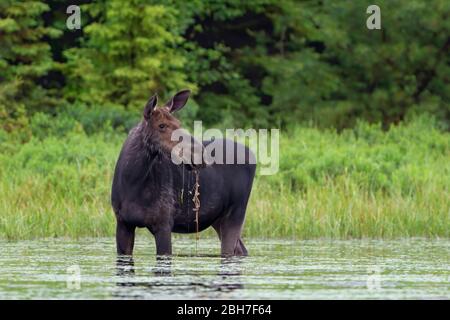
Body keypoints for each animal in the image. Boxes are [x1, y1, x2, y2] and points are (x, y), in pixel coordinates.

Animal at [110, 90, 255, 258]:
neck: (132, 181)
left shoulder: (164, 223)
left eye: (179, 124)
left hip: (236, 212)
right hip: (218, 218)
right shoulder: (123, 223)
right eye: (161, 125)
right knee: (241, 249)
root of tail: (253, 156)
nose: (200, 154)